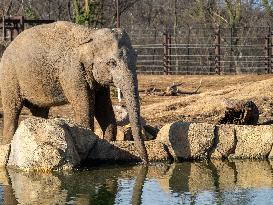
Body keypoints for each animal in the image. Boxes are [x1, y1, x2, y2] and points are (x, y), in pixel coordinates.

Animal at [0, 20, 148, 163]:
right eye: (112, 63)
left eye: (136, 57)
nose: (144, 162)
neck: (90, 34)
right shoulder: (72, 72)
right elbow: (85, 105)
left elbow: (103, 107)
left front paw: (108, 141)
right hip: (9, 78)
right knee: (12, 110)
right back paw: (7, 145)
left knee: (39, 111)